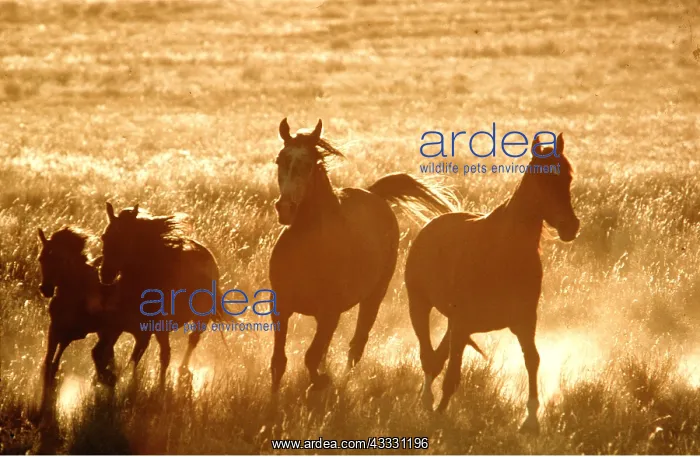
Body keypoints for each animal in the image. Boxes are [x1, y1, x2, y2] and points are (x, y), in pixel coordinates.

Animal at [36, 226, 119, 416]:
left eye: (61, 260)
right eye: (41, 259)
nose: (46, 289)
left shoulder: (72, 334)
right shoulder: (55, 331)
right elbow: (50, 365)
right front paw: (44, 405)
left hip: (109, 331)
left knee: (106, 358)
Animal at [96, 204, 225, 386]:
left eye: (125, 240)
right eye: (104, 237)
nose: (105, 274)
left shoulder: (156, 329)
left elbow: (160, 357)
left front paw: (160, 388)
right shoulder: (123, 328)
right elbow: (119, 356)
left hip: (200, 319)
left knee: (191, 342)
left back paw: (183, 372)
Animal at [268, 118, 459, 392]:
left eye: (308, 165)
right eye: (279, 160)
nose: (285, 209)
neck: (310, 248)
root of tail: (375, 194)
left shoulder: (330, 312)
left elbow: (311, 358)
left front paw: (321, 383)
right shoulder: (281, 307)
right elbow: (279, 362)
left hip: (373, 297)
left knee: (356, 345)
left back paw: (345, 382)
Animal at [404, 133, 579, 433]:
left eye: (567, 177)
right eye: (542, 179)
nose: (570, 226)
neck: (503, 252)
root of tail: (429, 227)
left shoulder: (523, 321)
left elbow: (532, 360)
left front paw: (531, 420)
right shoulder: (462, 323)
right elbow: (453, 374)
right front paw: (440, 416)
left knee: (437, 358)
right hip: (420, 306)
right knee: (428, 356)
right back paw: (427, 402)